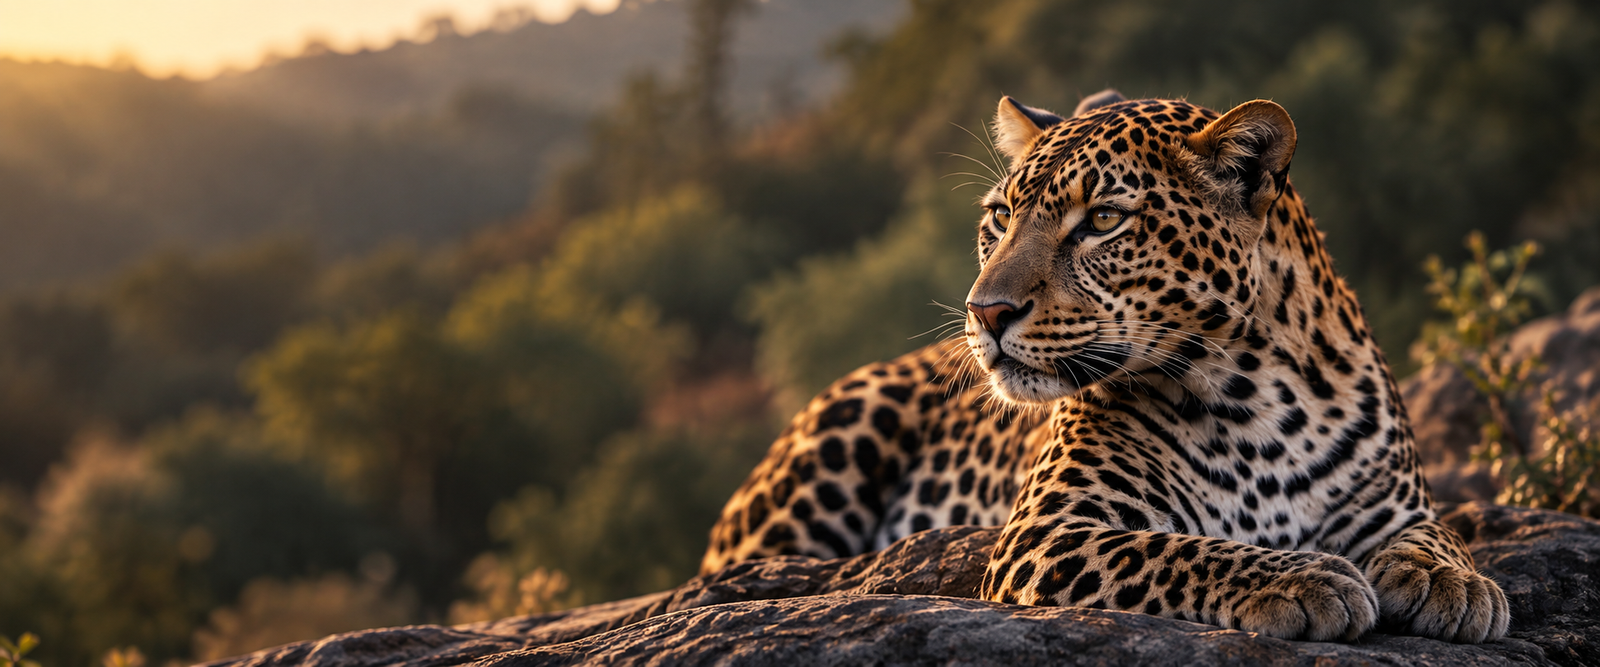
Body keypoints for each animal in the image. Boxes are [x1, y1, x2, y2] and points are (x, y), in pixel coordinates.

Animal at [701, 89, 1510, 644]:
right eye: (1000, 216)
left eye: (1102, 221)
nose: (985, 311)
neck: (1253, 393)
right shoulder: (1049, 529)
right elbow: (1180, 550)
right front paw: (1305, 578)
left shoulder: (1394, 504)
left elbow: (1438, 533)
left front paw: (1456, 582)